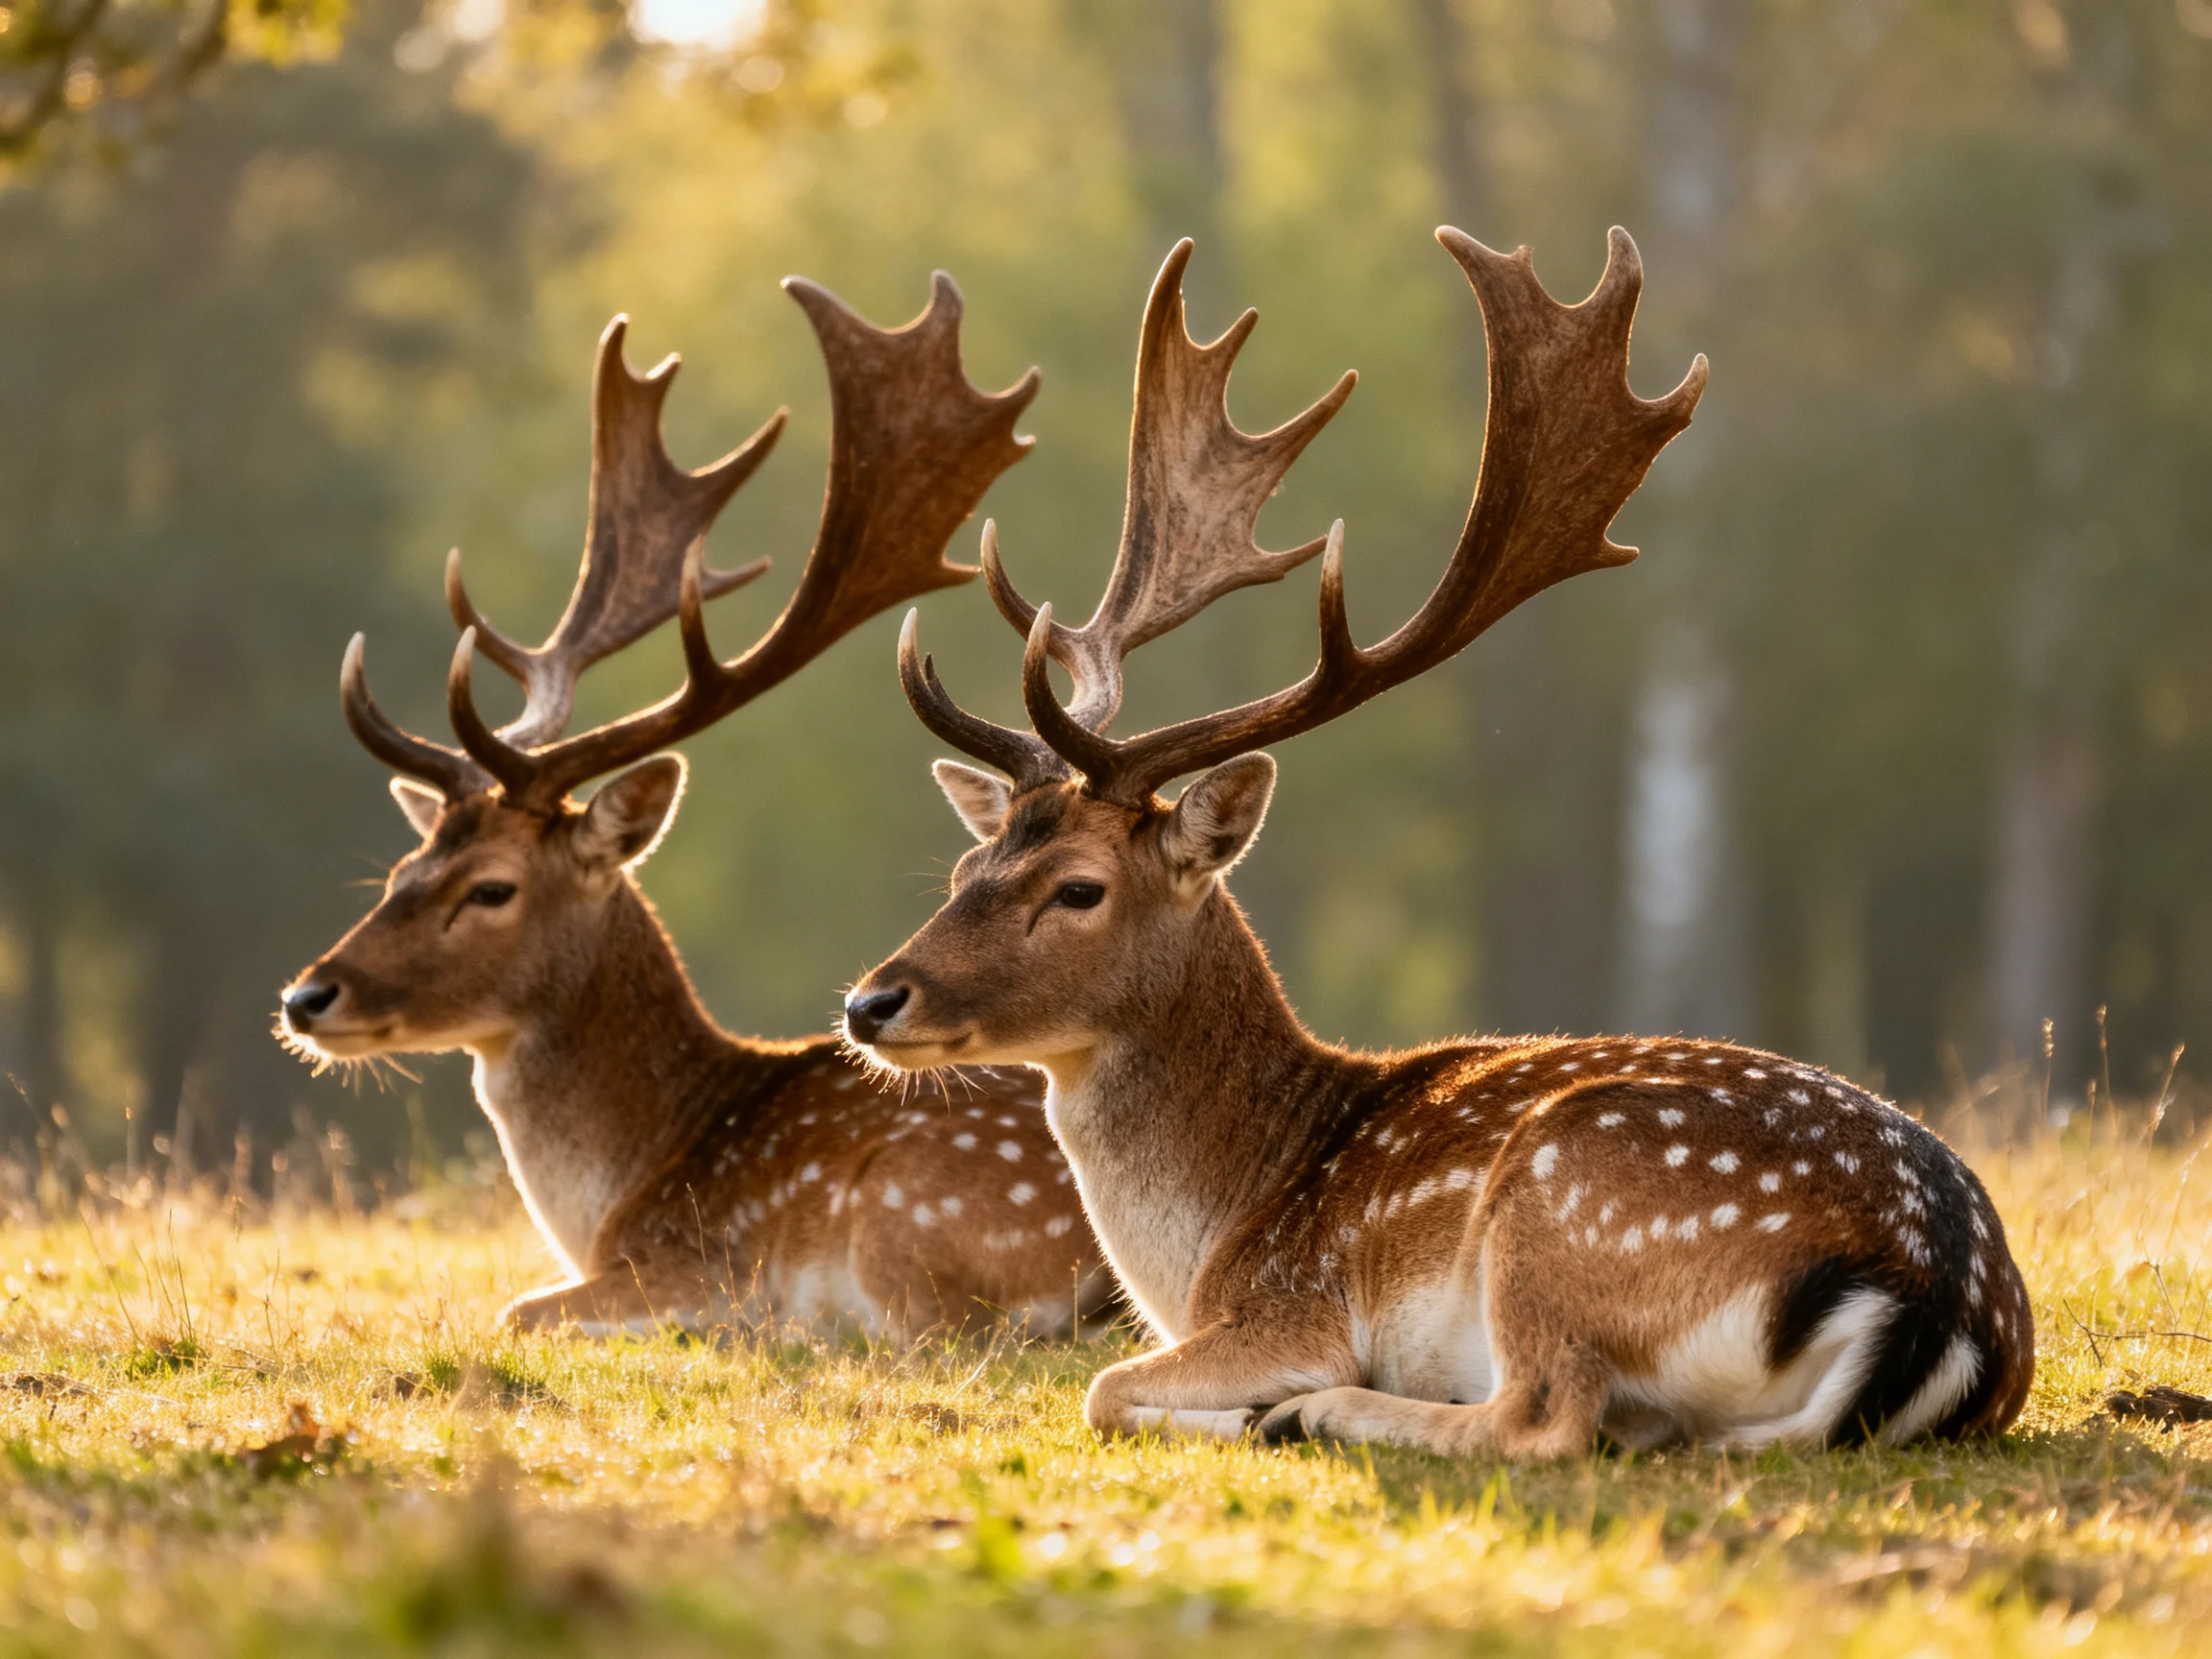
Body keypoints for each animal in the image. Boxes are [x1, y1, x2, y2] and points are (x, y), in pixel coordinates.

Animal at [278, 275, 1110, 1341]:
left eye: (492, 888)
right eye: (401, 870)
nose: (309, 996)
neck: (626, 1188)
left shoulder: (684, 1262)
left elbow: (512, 1310)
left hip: (908, 1222)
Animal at [841, 229, 2036, 1456]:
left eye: (1078, 888)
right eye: (966, 868)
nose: (870, 1002)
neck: (1219, 1233)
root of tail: (1932, 1297)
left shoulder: (1297, 1301)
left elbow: (1105, 1386)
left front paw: (1264, 1405)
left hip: (1562, 1201)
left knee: (1543, 1417)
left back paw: (1311, 1413)